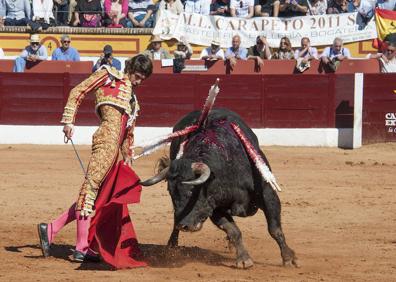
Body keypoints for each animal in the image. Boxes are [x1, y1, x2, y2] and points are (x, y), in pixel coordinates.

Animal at [141, 108, 298, 268]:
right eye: (171, 192)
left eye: (192, 189)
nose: (184, 226)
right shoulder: (214, 208)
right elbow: (234, 231)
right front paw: (243, 259)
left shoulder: (268, 195)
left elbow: (274, 229)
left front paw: (288, 258)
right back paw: (172, 245)